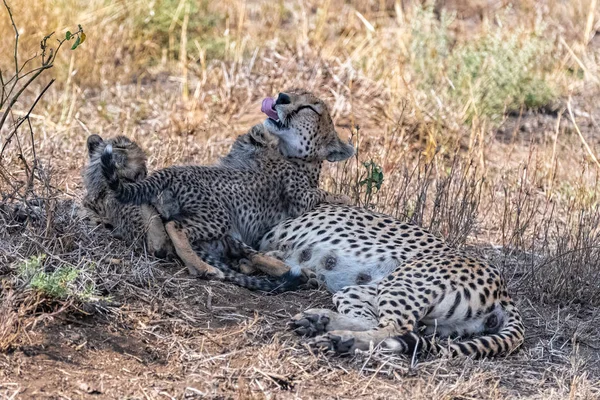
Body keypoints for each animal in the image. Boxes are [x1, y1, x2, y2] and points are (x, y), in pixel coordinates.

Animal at [100, 91, 354, 290]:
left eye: (309, 107)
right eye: (292, 93)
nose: (281, 97)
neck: (292, 156)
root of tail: (173, 171)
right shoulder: (300, 196)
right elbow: (322, 193)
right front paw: (344, 196)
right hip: (217, 216)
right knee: (175, 226)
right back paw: (202, 267)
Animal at [260, 205, 524, 358]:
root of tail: (504, 291)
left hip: (402, 283)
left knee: (395, 327)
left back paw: (338, 340)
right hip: (361, 290)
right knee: (374, 320)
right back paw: (318, 321)